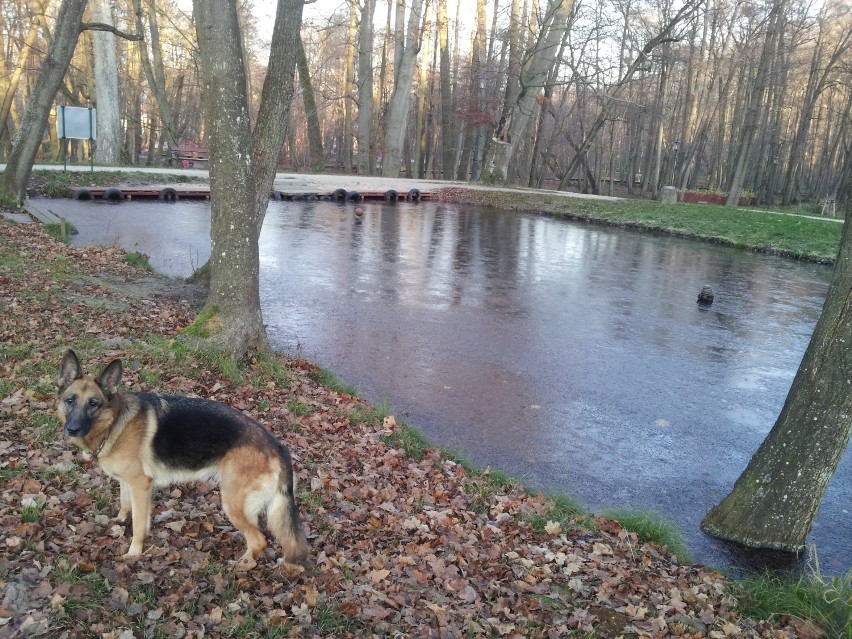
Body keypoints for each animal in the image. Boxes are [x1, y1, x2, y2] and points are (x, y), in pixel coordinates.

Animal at [57, 350, 310, 568]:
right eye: (70, 400)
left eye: (93, 404)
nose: (72, 429)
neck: (116, 422)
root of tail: (276, 445)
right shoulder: (128, 482)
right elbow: (125, 503)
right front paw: (120, 521)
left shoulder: (141, 485)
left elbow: (138, 524)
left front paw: (134, 552)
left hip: (232, 502)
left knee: (259, 540)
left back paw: (242, 566)